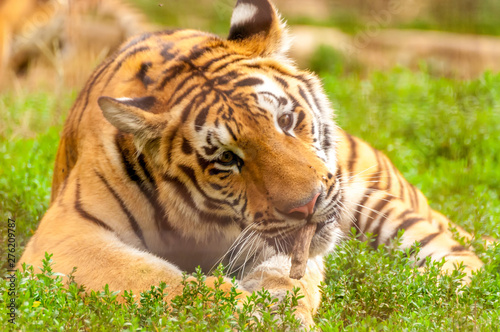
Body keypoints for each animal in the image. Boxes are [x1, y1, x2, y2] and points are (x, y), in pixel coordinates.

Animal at [19, 0, 484, 326]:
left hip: (375, 198)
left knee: (465, 260)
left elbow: (288, 272)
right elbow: (157, 280)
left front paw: (282, 306)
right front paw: (249, 311)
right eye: (227, 158)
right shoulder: (67, 234)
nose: (307, 206)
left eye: (286, 120)